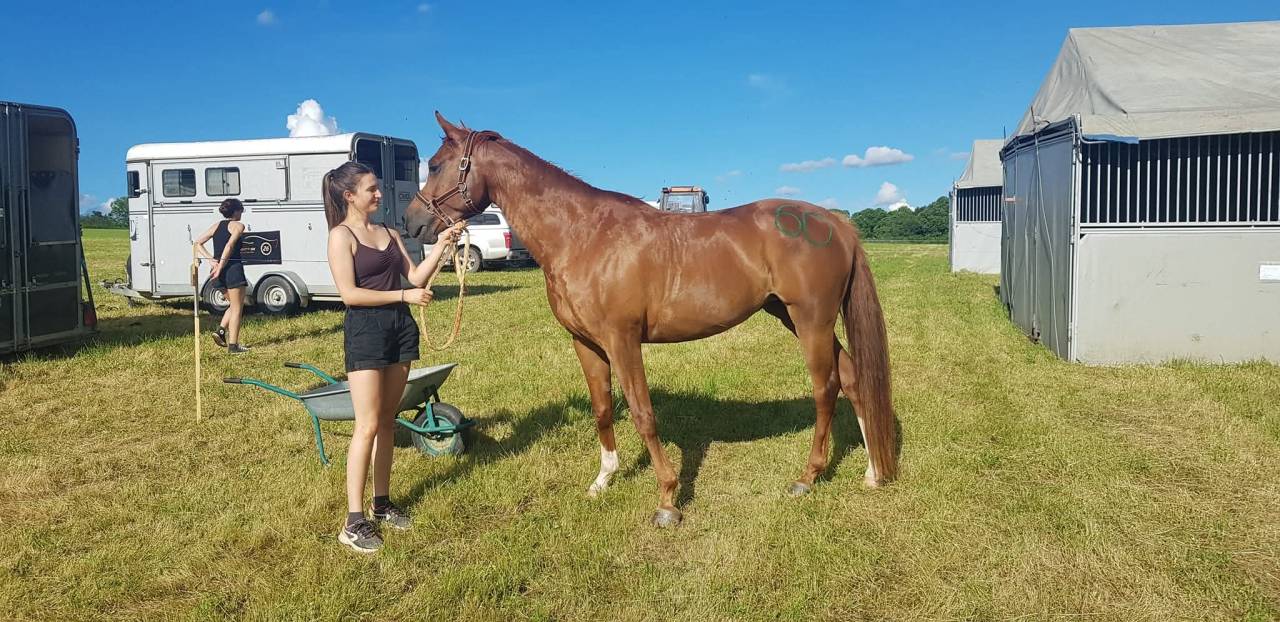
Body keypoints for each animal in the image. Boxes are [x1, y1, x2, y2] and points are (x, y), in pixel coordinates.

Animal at [406, 113, 897, 527]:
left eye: (436, 165)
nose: (412, 223)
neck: (583, 234)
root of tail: (835, 222)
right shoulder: (586, 344)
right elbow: (604, 409)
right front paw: (603, 480)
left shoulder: (622, 340)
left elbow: (643, 414)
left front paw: (667, 499)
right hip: (796, 317)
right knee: (853, 379)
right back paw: (874, 471)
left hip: (811, 320)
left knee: (827, 388)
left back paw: (808, 477)